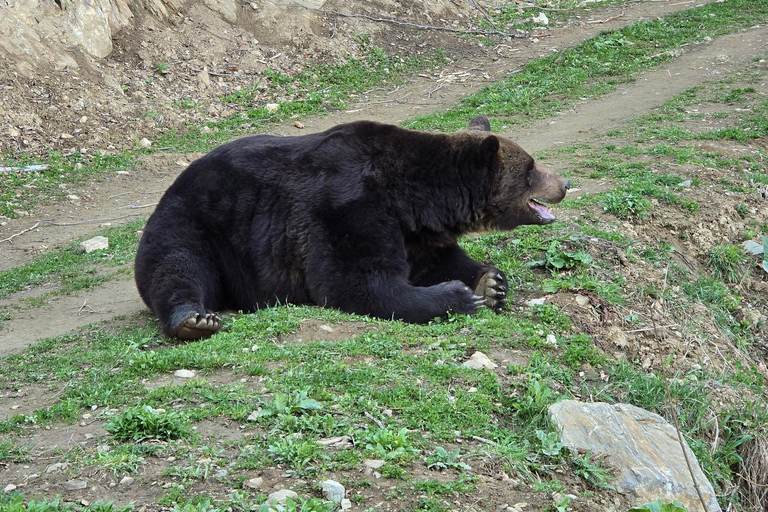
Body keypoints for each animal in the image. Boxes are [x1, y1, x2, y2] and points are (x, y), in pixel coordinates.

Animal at [134, 116, 570, 339]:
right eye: (532, 169)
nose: (564, 183)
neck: (414, 198)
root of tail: (167, 192)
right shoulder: (348, 207)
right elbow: (356, 281)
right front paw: (457, 296)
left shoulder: (414, 234)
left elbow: (440, 259)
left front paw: (490, 282)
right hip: (198, 225)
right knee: (177, 267)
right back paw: (194, 319)